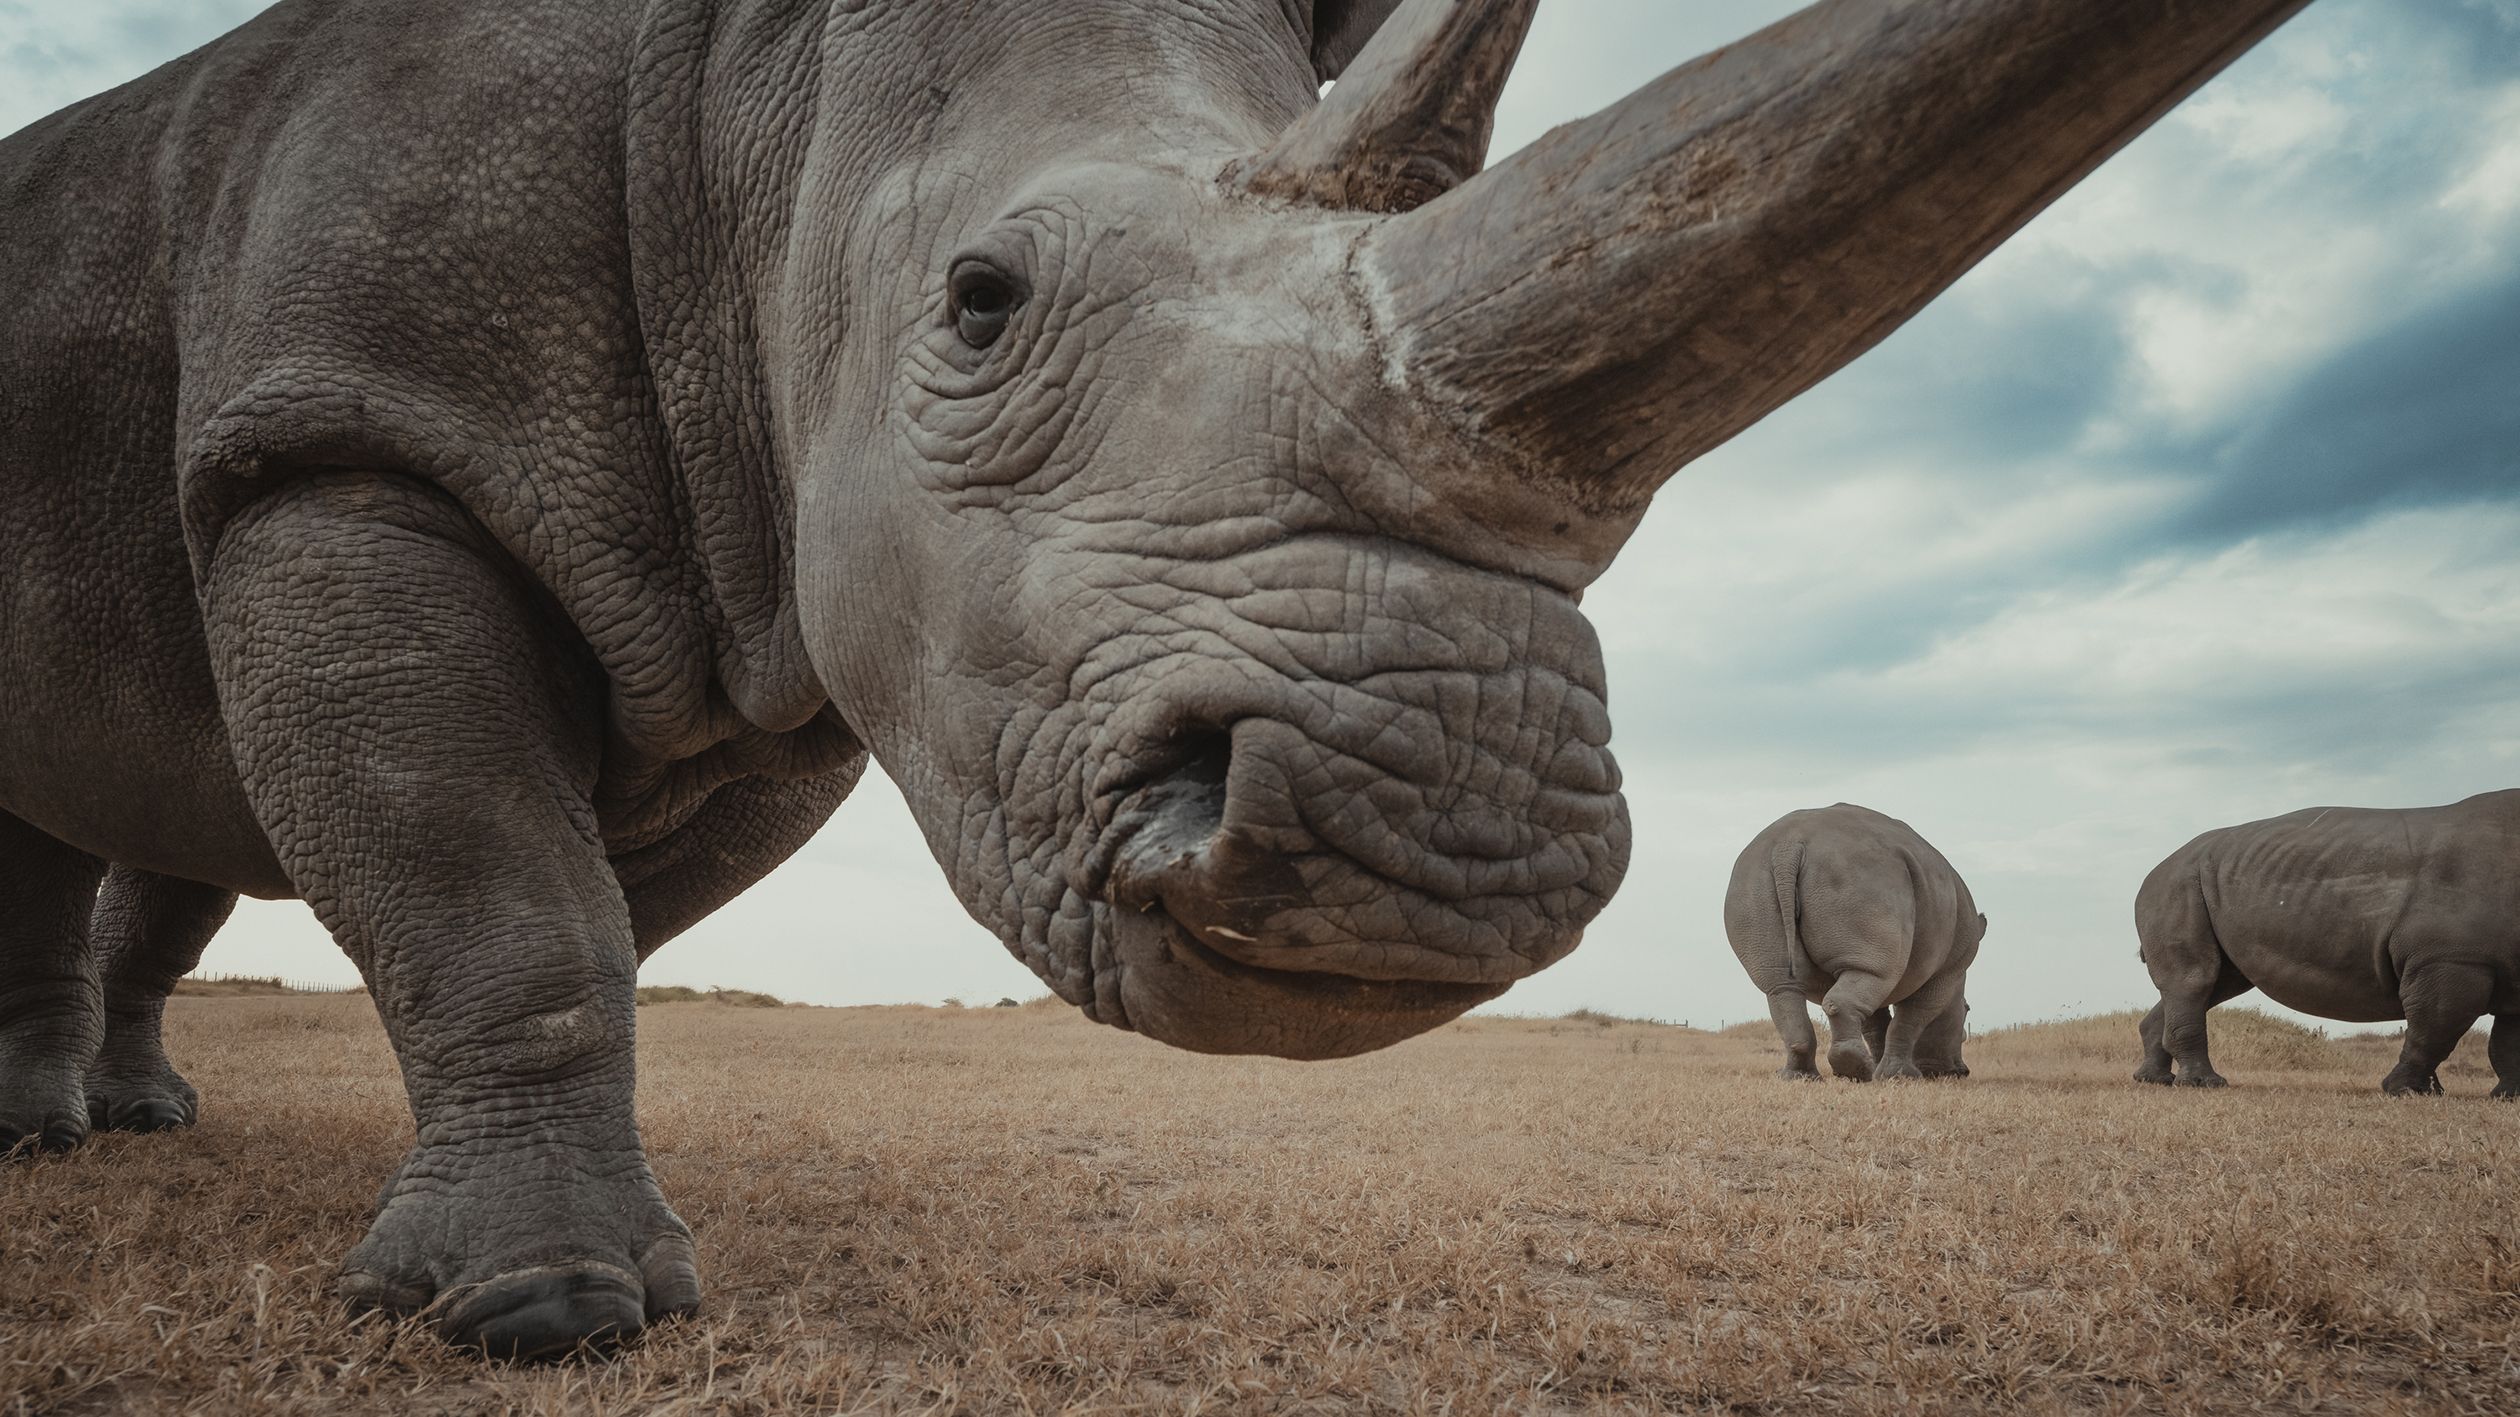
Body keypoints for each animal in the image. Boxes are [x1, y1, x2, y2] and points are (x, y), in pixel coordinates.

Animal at [1725, 804, 1983, 1081]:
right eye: (1967, 1009)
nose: (1962, 1072)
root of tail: (1788, 845)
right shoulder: (1946, 972)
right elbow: (1910, 1019)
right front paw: (1900, 1076)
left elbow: (1878, 1024)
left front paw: (1881, 1073)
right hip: (1863, 879)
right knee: (1870, 976)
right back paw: (1854, 1071)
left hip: (1752, 884)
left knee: (1781, 986)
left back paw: (1802, 1077)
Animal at [2134, 790, 2520, 1096]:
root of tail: (2157, 866)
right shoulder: (2452, 957)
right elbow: (2436, 1027)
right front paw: (2405, 1091)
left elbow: (2506, 1038)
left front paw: (2507, 1095)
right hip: (2176, 882)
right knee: (2196, 981)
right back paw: (2203, 1084)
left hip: (2203, 881)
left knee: (2218, 982)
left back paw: (2154, 1080)